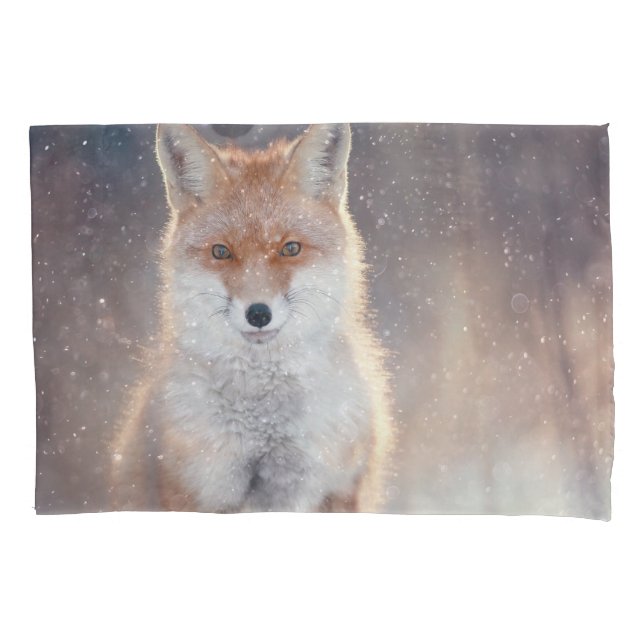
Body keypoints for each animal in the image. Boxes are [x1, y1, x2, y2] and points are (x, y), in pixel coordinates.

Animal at [109, 123, 394, 513]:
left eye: (290, 248)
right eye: (221, 252)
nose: (258, 313)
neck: (264, 424)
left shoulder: (335, 487)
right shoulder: (195, 488)